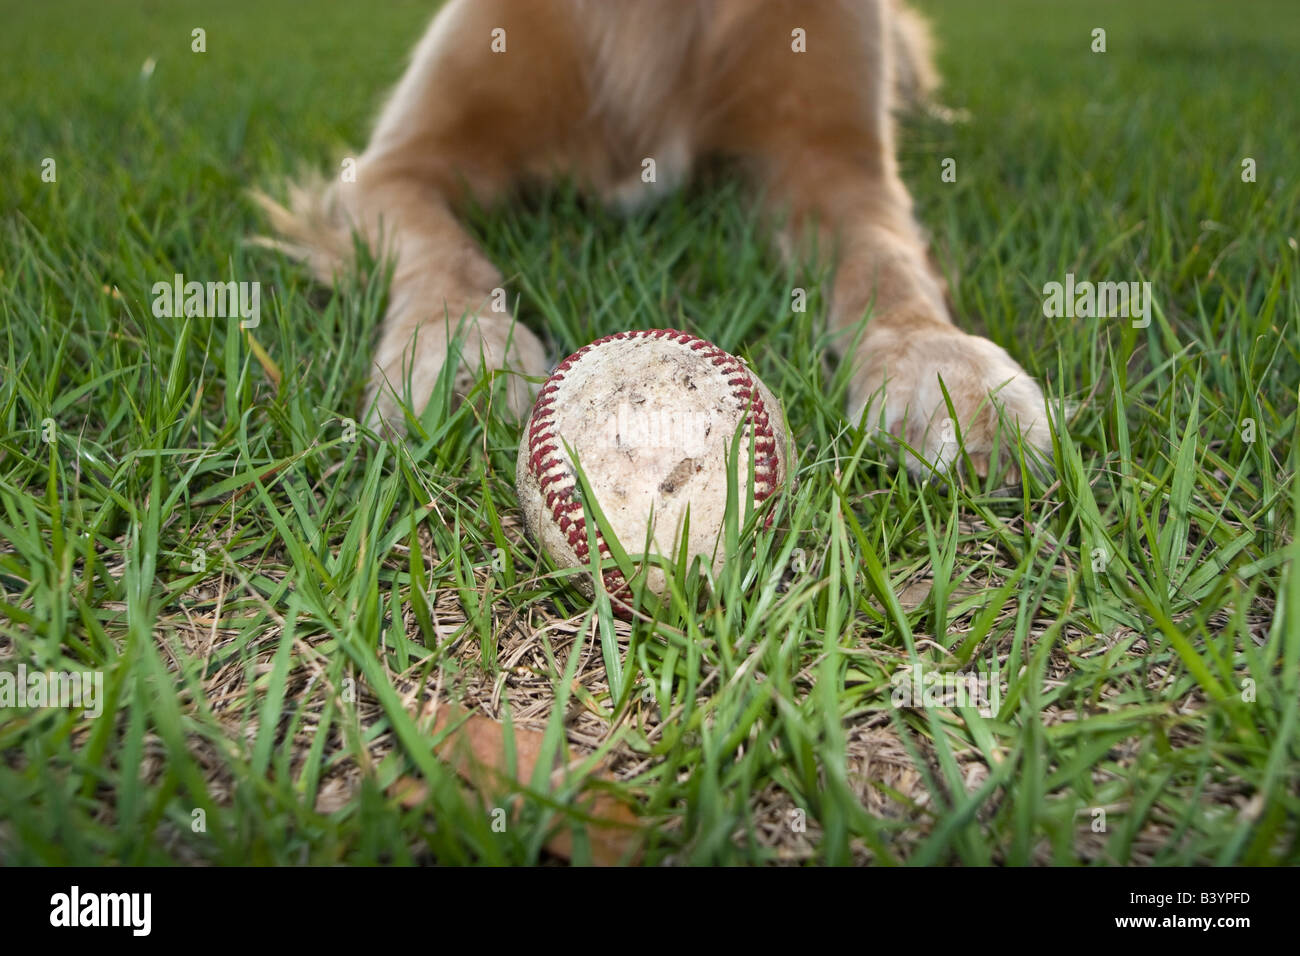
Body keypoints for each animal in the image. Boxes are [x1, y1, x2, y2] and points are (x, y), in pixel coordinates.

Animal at [258, 0, 1050, 478]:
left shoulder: (837, 162)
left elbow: (885, 261)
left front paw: (943, 364)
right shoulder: (398, 162)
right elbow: (441, 253)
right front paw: (457, 344)